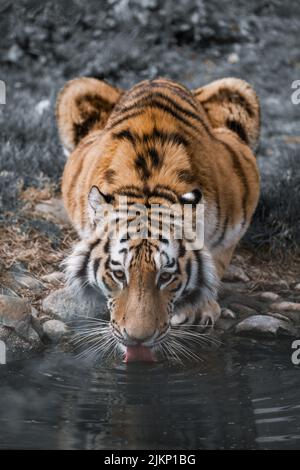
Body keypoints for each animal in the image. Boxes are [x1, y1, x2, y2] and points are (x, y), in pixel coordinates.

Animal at [56, 75, 260, 362]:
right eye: (118, 274)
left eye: (166, 276)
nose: (138, 339)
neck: (147, 186)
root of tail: (158, 79)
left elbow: (218, 259)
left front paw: (197, 310)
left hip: (236, 89)